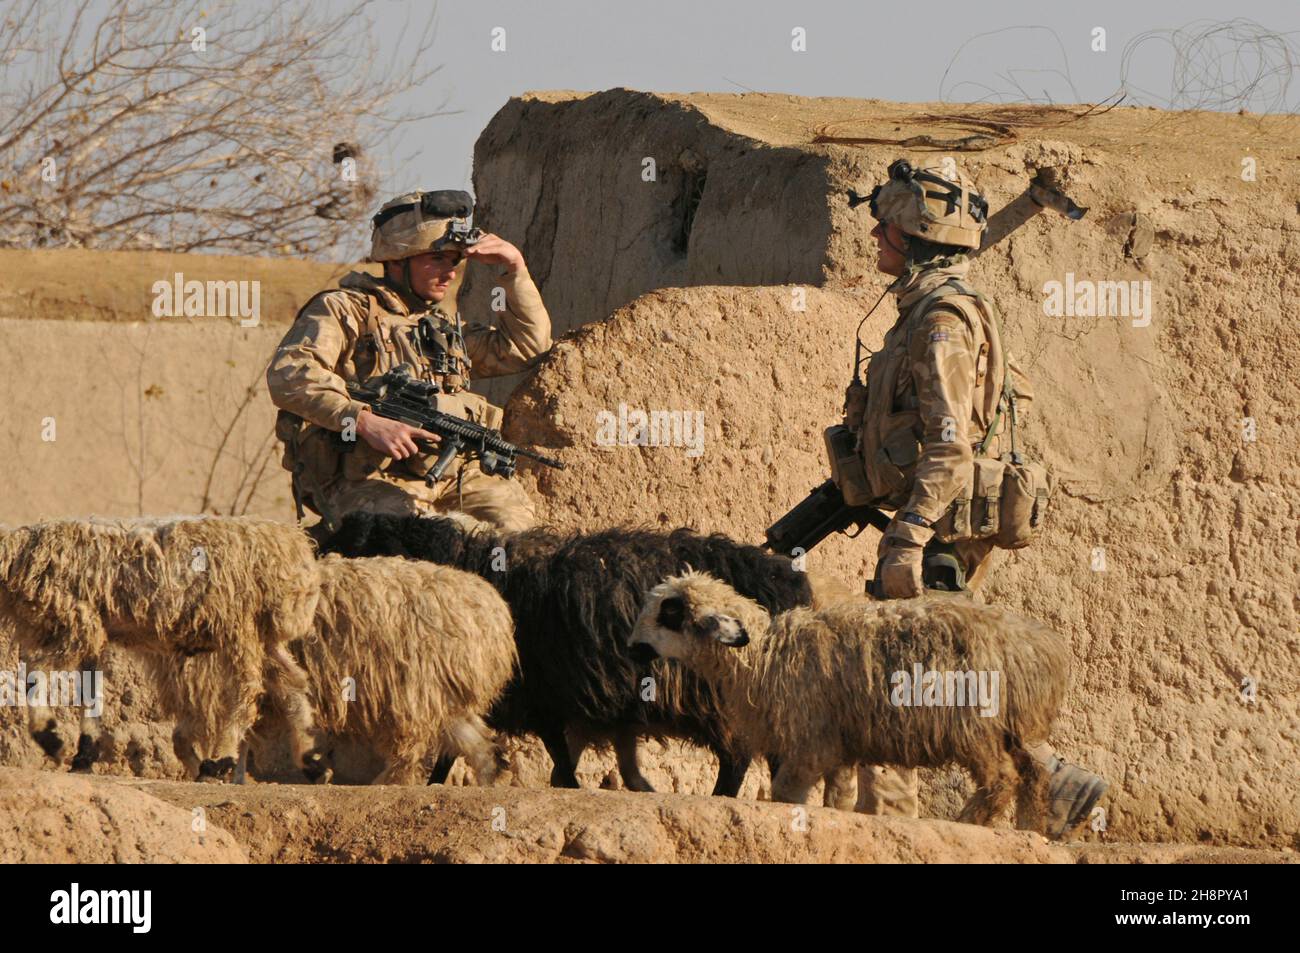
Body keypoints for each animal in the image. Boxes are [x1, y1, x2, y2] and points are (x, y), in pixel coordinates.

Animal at [0, 517, 322, 774]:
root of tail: (293, 547)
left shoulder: (74, 623)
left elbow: (35, 676)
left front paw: (51, 738)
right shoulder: (92, 629)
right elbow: (90, 692)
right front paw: (84, 757)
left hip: (239, 624)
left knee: (248, 688)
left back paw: (220, 760)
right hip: (262, 634)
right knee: (292, 681)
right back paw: (312, 759)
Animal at [250, 553, 514, 785]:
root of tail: (494, 615)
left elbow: (292, 700)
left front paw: (312, 763)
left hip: (414, 687)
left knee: (412, 746)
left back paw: (389, 781)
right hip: (444, 690)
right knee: (475, 741)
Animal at [626, 569, 1066, 826]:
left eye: (669, 612)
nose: (631, 648)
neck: (765, 655)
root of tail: (1035, 646)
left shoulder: (811, 742)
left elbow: (787, 792)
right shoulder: (840, 744)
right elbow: (838, 797)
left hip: (976, 723)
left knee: (1002, 777)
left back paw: (970, 820)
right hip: (1021, 725)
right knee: (1037, 775)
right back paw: (1030, 826)